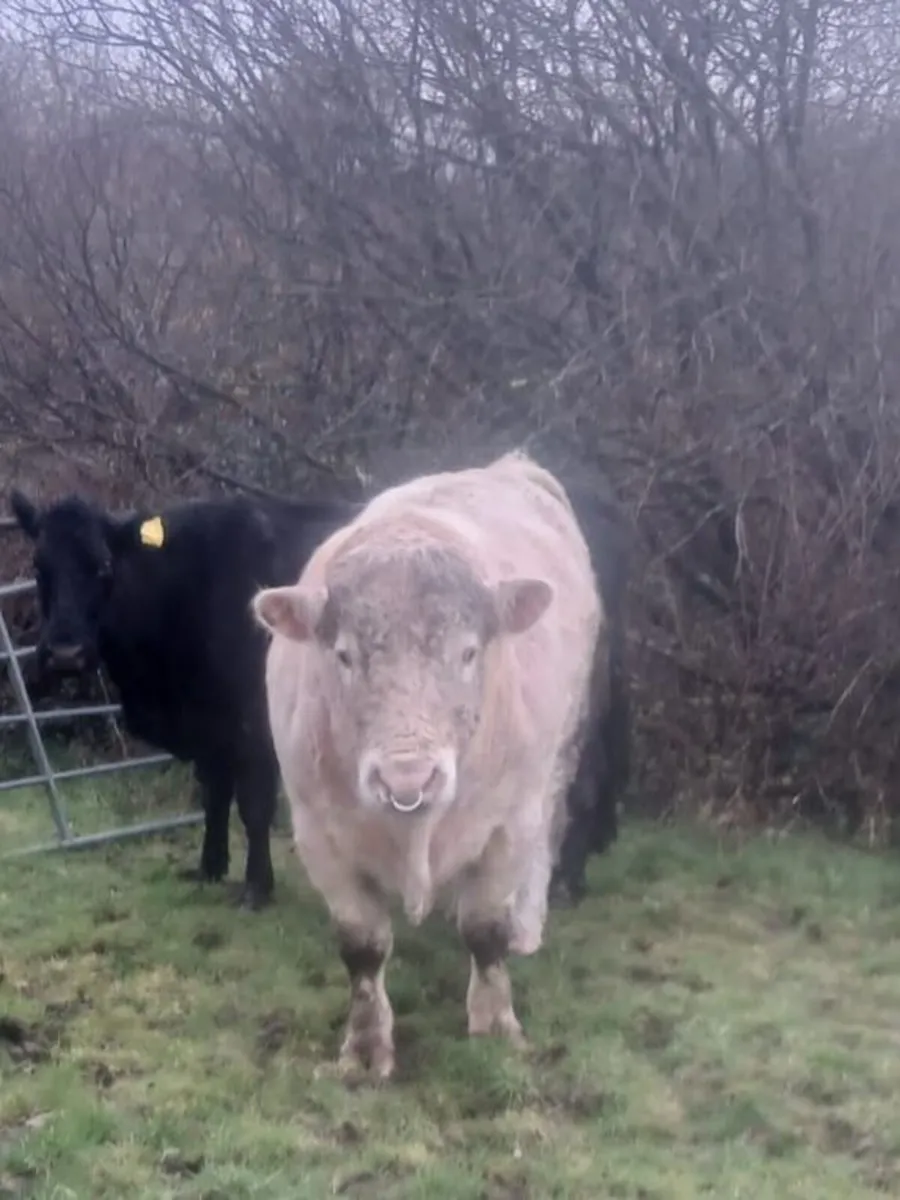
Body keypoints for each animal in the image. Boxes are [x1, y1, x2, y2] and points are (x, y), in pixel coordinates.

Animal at [9, 488, 358, 911]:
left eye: (104, 566)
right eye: (39, 566)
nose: (65, 654)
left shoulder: (252, 724)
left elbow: (253, 805)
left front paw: (256, 887)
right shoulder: (208, 726)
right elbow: (214, 795)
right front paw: (210, 867)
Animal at [252, 450, 601, 1078]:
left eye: (468, 652)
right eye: (344, 655)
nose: (408, 778)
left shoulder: (507, 822)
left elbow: (484, 929)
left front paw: (495, 1025)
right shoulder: (318, 834)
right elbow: (362, 946)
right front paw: (366, 1049)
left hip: (561, 747)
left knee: (551, 828)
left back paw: (528, 926)